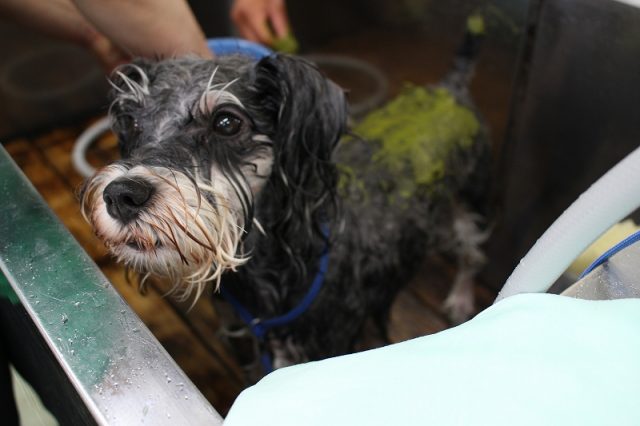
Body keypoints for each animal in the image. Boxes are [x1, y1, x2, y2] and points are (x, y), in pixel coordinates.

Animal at [81, 28, 490, 380]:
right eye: (131, 122)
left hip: (471, 202)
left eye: (226, 122)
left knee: (472, 253)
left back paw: (460, 298)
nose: (121, 195)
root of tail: (450, 89)